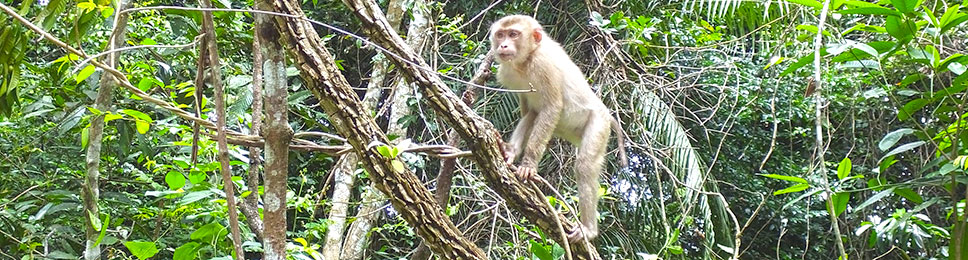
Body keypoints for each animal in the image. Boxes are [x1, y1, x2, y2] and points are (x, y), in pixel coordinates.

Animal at [488, 14, 632, 242]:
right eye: (501, 34)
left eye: (513, 34)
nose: (503, 45)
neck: (526, 61)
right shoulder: (507, 73)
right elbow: (529, 111)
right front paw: (513, 152)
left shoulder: (543, 64)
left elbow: (552, 107)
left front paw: (529, 165)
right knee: (533, 115)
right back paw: (511, 151)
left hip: (599, 124)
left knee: (585, 165)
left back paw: (588, 228)